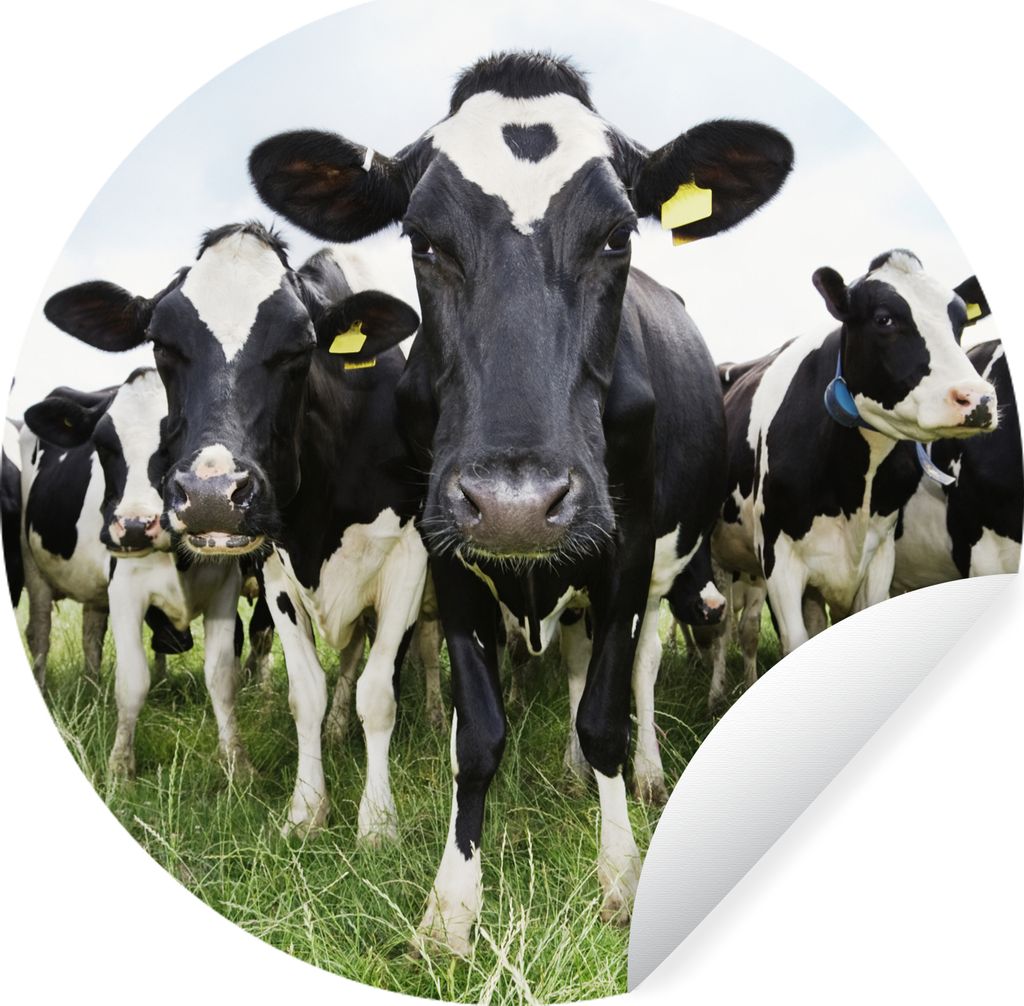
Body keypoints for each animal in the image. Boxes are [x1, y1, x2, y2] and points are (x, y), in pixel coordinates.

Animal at [42, 222, 427, 845]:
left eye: (301, 347)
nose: (211, 496)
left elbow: (378, 693)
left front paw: (377, 822)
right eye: (161, 343)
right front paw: (306, 810)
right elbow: (305, 693)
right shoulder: (275, 571)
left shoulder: (409, 563)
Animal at [246, 50, 795, 952]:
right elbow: (477, 734)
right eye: (423, 239)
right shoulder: (445, 550)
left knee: (636, 671)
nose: (516, 504)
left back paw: (638, 775)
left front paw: (621, 875)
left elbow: (605, 714)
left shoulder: (626, 548)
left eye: (617, 235)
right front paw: (451, 907)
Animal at [712, 250, 998, 664]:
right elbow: (794, 642)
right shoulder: (777, 555)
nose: (978, 399)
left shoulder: (880, 555)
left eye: (960, 321)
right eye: (884, 318)